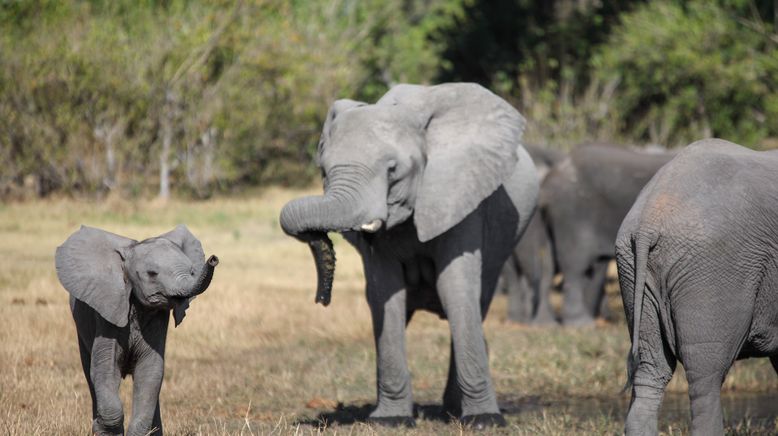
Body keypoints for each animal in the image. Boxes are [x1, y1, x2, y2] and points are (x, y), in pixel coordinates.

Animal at [56, 225, 217, 436]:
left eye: (191, 271)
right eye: (152, 274)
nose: (214, 259)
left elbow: (150, 371)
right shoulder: (108, 314)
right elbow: (105, 369)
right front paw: (107, 429)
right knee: (89, 373)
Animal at [278, 83, 540, 428]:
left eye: (393, 171)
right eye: (323, 170)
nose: (322, 299)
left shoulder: (458, 194)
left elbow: (455, 287)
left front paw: (484, 420)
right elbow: (386, 293)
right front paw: (390, 421)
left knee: (475, 303)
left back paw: (453, 410)